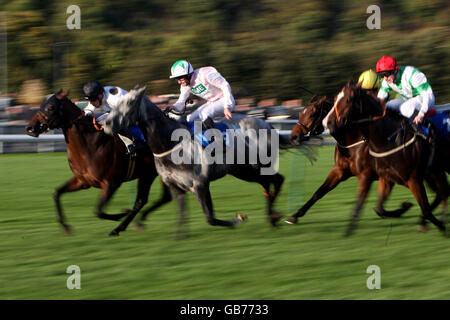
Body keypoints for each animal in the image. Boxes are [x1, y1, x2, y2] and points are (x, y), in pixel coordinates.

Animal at [25, 90, 171, 235]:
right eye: (41, 104)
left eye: (50, 107)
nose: (30, 128)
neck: (90, 146)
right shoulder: (82, 181)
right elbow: (56, 193)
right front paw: (65, 226)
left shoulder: (111, 183)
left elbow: (98, 211)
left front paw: (121, 214)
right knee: (161, 198)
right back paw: (136, 222)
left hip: (149, 174)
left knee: (142, 201)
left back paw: (122, 227)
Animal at [286, 94, 414, 226]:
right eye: (300, 113)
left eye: (312, 114)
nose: (293, 137)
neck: (353, 143)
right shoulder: (340, 170)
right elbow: (319, 192)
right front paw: (294, 216)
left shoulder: (380, 175)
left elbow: (380, 208)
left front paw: (404, 207)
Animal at [326, 81, 448, 234]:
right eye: (335, 98)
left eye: (348, 99)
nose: (328, 122)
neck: (389, 138)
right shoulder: (386, 177)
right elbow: (379, 209)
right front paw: (405, 207)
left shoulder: (412, 179)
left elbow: (425, 210)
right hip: (436, 170)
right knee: (443, 192)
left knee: (442, 193)